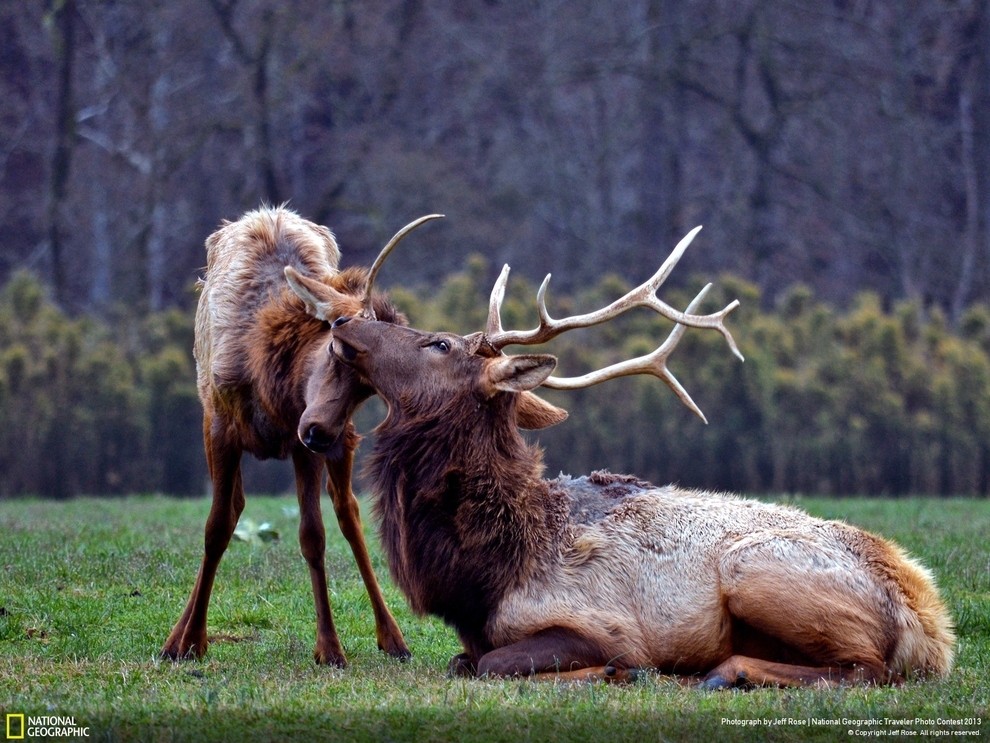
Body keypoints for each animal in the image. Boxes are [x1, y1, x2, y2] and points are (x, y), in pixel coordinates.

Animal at [161, 206, 440, 664]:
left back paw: (393, 636)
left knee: (348, 511)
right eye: (339, 346)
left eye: (371, 386)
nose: (319, 430)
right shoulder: (220, 426)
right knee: (235, 507)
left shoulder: (303, 446)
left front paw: (329, 647)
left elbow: (313, 536)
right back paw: (173, 638)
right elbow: (216, 528)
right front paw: (192, 640)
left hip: (338, 444)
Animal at [312, 228, 960, 692]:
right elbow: (461, 662)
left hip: (755, 570)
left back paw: (725, 673)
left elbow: (496, 664)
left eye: (439, 343)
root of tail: (932, 627)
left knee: (869, 669)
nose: (344, 323)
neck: (483, 574)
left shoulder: (602, 624)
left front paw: (615, 671)